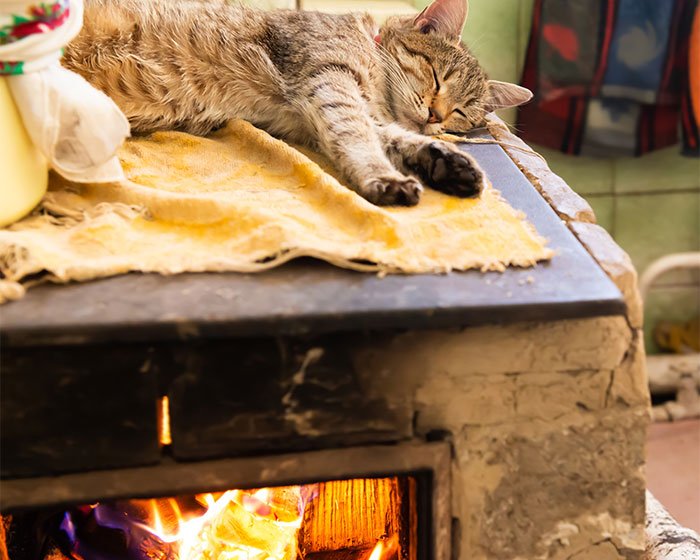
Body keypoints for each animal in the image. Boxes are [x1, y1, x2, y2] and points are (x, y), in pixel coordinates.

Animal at [64, 0, 532, 206]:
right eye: (438, 77)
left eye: (461, 114)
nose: (435, 115)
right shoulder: (330, 82)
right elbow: (359, 138)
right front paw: (384, 176)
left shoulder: (313, 115)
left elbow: (395, 138)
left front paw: (443, 160)